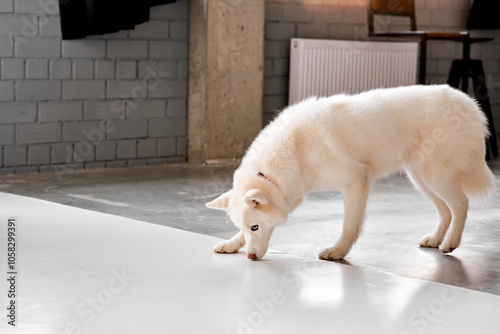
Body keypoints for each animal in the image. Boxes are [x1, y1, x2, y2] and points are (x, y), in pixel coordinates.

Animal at [205, 85, 494, 260]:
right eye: (244, 227)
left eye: (255, 226)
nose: (252, 257)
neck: (295, 147)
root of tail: (470, 103)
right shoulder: (292, 194)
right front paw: (231, 244)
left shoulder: (356, 182)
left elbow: (350, 225)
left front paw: (338, 252)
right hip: (420, 179)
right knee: (446, 211)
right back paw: (435, 239)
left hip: (435, 176)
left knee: (461, 205)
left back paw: (451, 242)